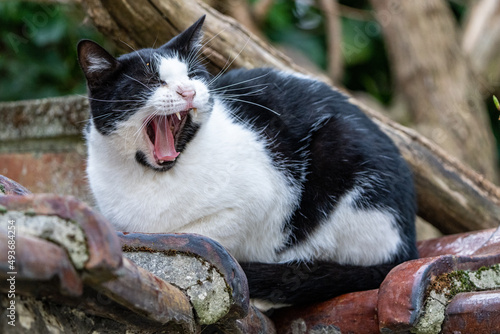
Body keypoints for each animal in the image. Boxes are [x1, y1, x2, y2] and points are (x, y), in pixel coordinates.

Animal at [76, 15, 416, 308]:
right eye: (150, 79)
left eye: (193, 75)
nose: (188, 91)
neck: (152, 177)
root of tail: (409, 244)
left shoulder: (257, 200)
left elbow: (205, 234)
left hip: (342, 152)